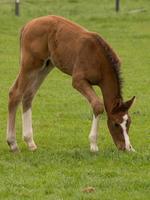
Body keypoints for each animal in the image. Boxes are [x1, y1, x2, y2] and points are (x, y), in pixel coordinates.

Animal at [7, 15, 136, 152]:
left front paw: (132, 148)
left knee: (28, 95)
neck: (99, 59)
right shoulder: (78, 81)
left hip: (45, 66)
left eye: (129, 122)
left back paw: (30, 142)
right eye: (115, 124)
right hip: (30, 64)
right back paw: (13, 143)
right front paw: (93, 145)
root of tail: (27, 25)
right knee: (15, 93)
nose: (125, 147)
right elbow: (98, 105)